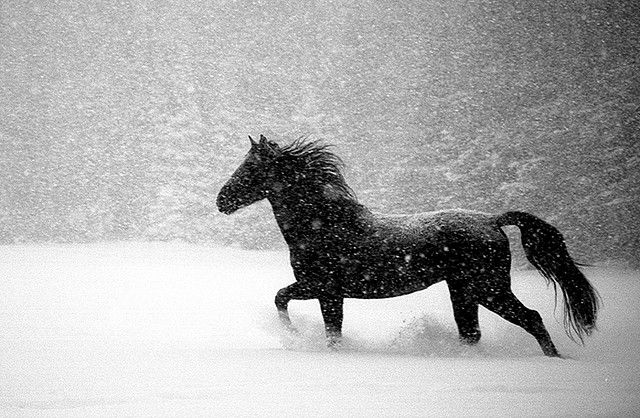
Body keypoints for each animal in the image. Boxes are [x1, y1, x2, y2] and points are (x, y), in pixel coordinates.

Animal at [219, 135, 600, 356]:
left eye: (251, 167)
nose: (222, 200)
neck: (326, 226)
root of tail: (492, 220)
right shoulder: (330, 293)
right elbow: (329, 328)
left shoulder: (322, 287)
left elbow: (282, 299)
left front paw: (295, 334)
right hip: (464, 291)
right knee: (471, 333)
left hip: (488, 289)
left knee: (531, 318)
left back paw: (555, 358)